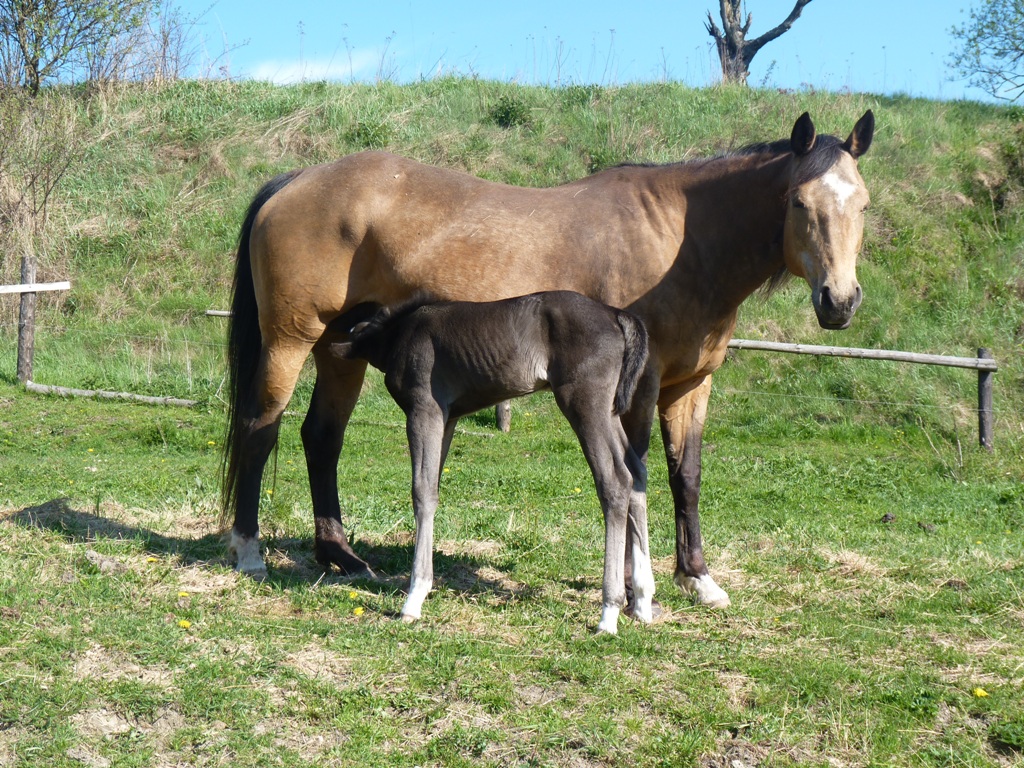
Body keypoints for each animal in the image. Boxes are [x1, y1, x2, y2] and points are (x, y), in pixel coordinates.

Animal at [224, 111, 872, 610]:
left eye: (862, 205)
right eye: (798, 201)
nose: (839, 301)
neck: (677, 241)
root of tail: (296, 180)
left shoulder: (691, 386)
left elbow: (684, 477)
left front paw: (698, 579)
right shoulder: (642, 388)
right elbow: (635, 475)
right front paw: (635, 587)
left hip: (340, 352)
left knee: (321, 437)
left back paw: (341, 556)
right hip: (290, 342)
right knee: (261, 428)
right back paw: (250, 551)